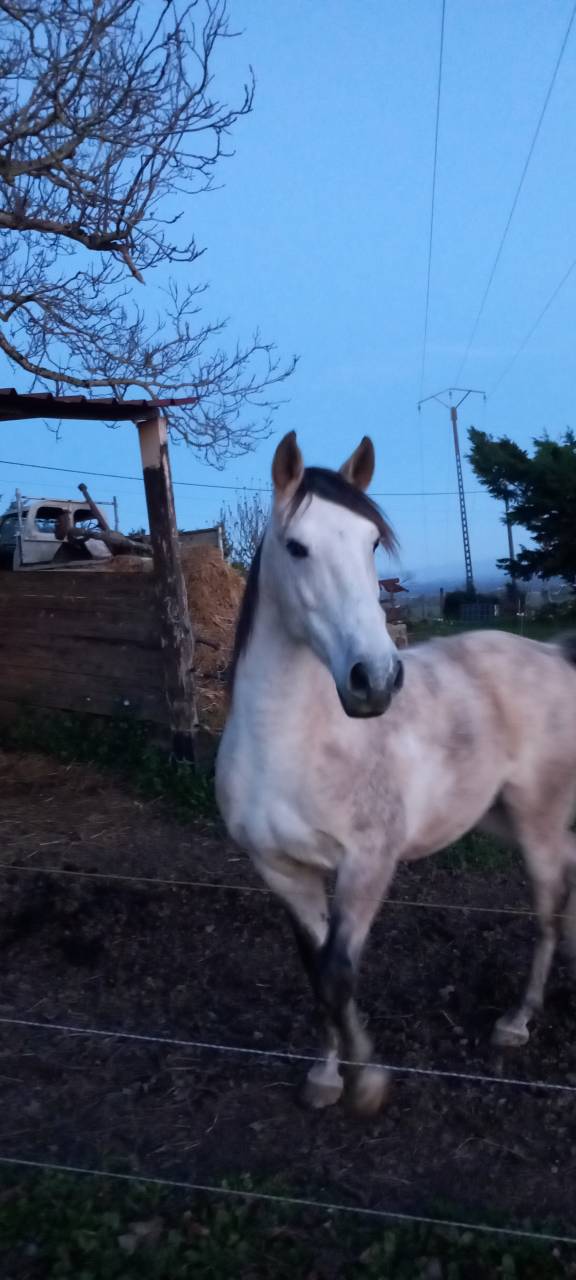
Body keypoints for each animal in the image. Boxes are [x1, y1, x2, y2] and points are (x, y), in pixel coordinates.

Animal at [215, 431, 576, 1114]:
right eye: (296, 547)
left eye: (372, 543)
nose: (375, 680)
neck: (291, 745)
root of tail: (552, 654)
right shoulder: (282, 871)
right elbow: (317, 972)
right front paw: (327, 1076)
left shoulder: (366, 865)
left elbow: (338, 972)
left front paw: (368, 1082)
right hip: (500, 817)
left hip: (537, 823)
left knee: (547, 910)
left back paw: (517, 1021)